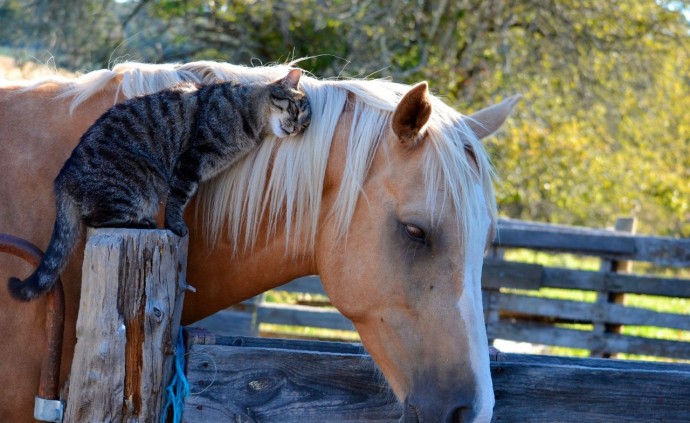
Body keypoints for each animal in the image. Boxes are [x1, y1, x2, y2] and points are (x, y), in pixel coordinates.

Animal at [7, 68, 310, 302]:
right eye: (295, 109)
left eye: (305, 125)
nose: (296, 129)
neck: (250, 118)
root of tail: (63, 178)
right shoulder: (191, 161)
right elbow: (178, 199)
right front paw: (176, 225)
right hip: (141, 180)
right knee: (96, 219)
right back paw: (143, 222)